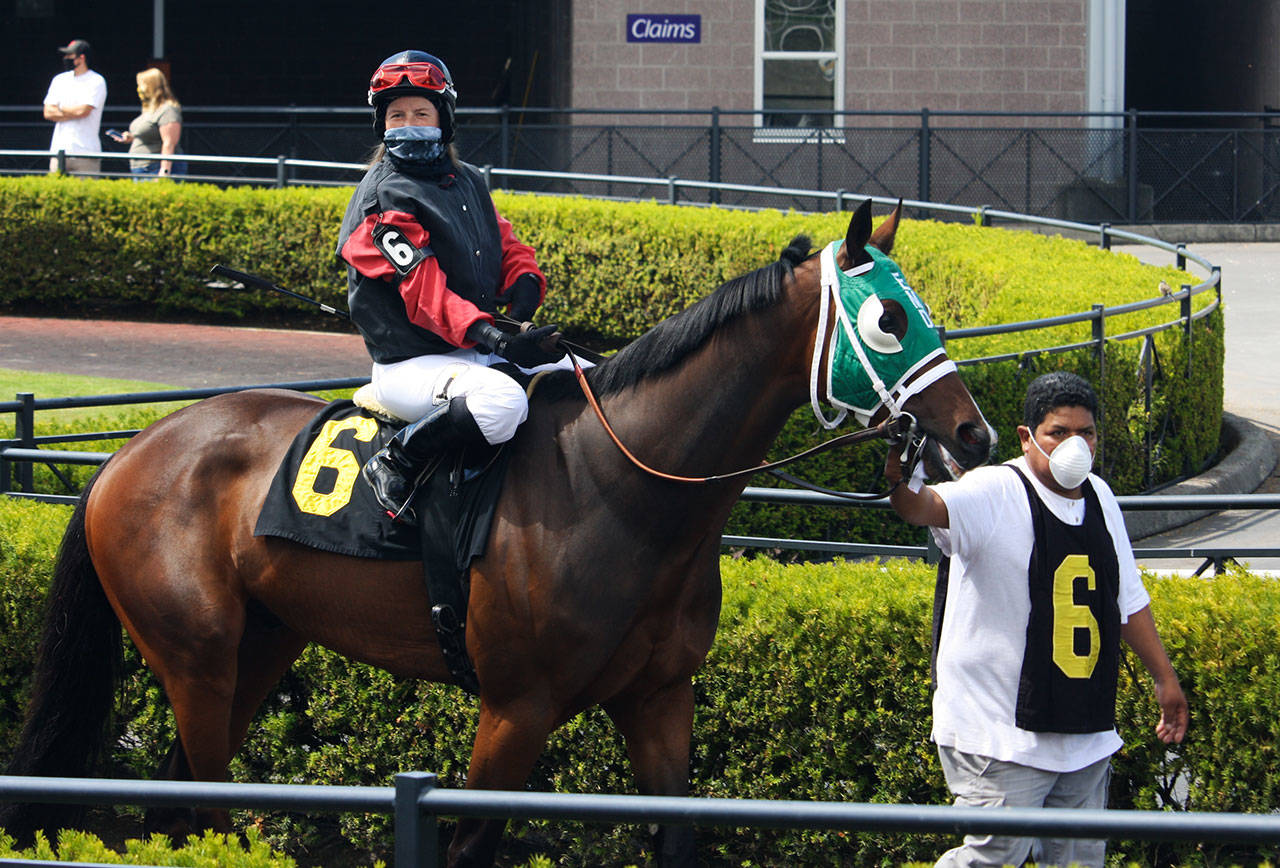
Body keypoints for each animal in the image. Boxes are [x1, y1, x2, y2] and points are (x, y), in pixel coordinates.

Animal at [2, 200, 988, 865]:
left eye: (925, 310)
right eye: (887, 319)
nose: (972, 434)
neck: (622, 483)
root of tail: (127, 453)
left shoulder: (660, 700)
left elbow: (677, 833)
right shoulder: (516, 707)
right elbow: (472, 838)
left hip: (262, 644)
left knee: (177, 804)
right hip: (194, 654)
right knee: (202, 802)